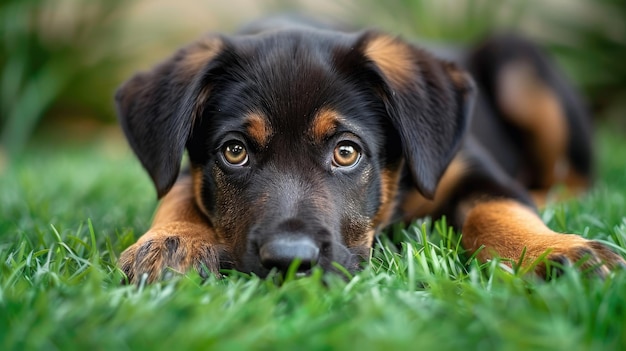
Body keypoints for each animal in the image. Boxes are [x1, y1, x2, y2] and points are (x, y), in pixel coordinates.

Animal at [113, 17, 624, 284]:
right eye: (234, 152)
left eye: (346, 152)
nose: (290, 262)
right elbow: (178, 190)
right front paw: (172, 240)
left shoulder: (467, 164)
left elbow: (497, 208)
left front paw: (554, 252)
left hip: (520, 66)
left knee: (572, 180)